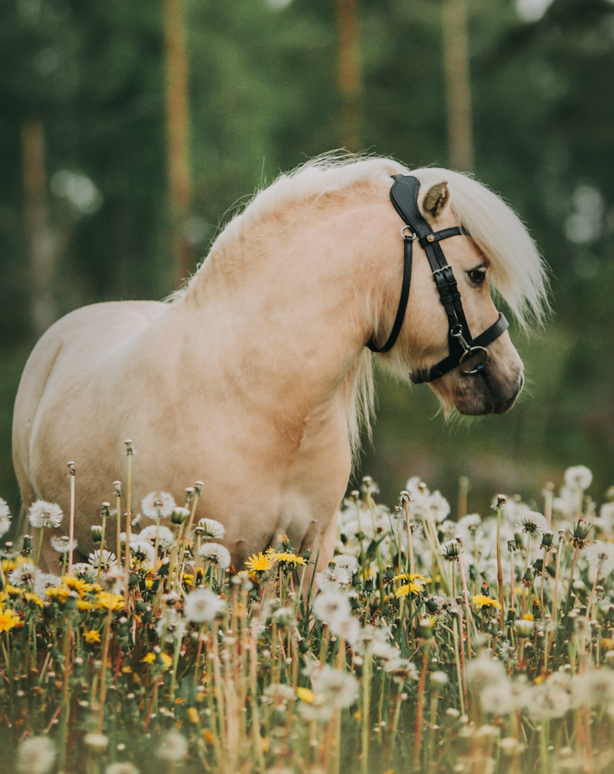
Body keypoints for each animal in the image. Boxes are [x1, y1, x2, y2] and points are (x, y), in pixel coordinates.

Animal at [12, 153, 548, 576]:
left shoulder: (308, 549)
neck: (261, 397)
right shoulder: (209, 551)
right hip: (51, 546)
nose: (512, 379)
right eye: (475, 274)